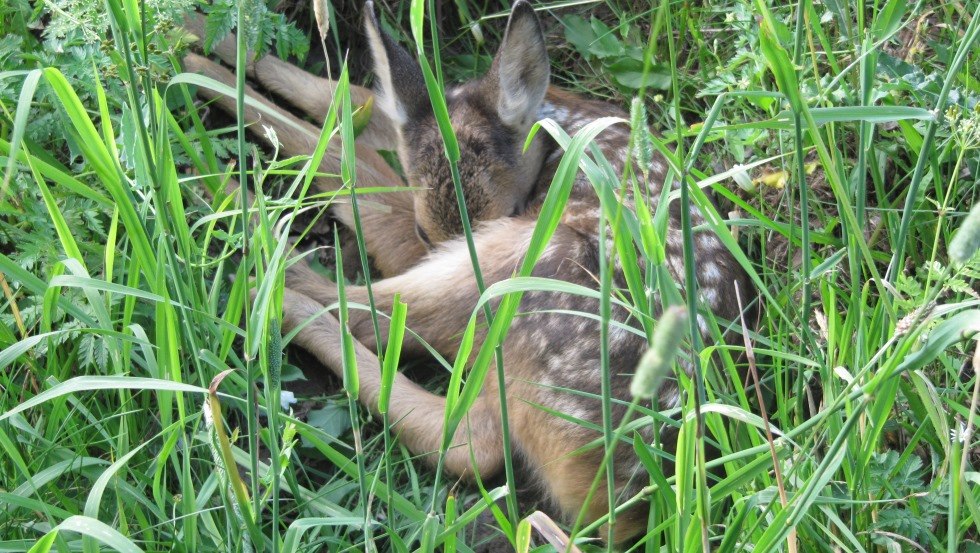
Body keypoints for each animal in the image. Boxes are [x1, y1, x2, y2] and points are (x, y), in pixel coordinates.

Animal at [182, 1, 754, 544]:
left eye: (512, 204)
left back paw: (246, 239)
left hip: (529, 270)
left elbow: (351, 171)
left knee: (460, 428)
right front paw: (199, 49)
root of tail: (635, 502)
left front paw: (195, 73)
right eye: (425, 227)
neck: (554, 126)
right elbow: (351, 101)